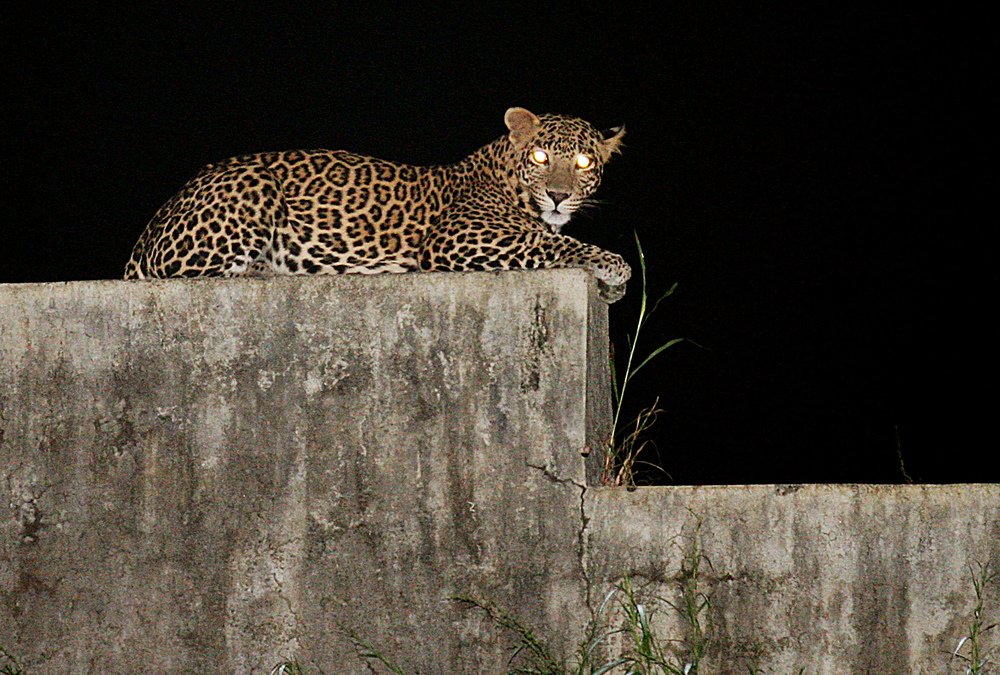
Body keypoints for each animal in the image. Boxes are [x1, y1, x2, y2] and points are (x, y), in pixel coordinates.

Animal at [123, 107, 632, 302]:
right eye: (541, 157)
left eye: (584, 162)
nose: (559, 196)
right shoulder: (457, 239)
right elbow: (547, 242)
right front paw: (615, 267)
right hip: (253, 185)